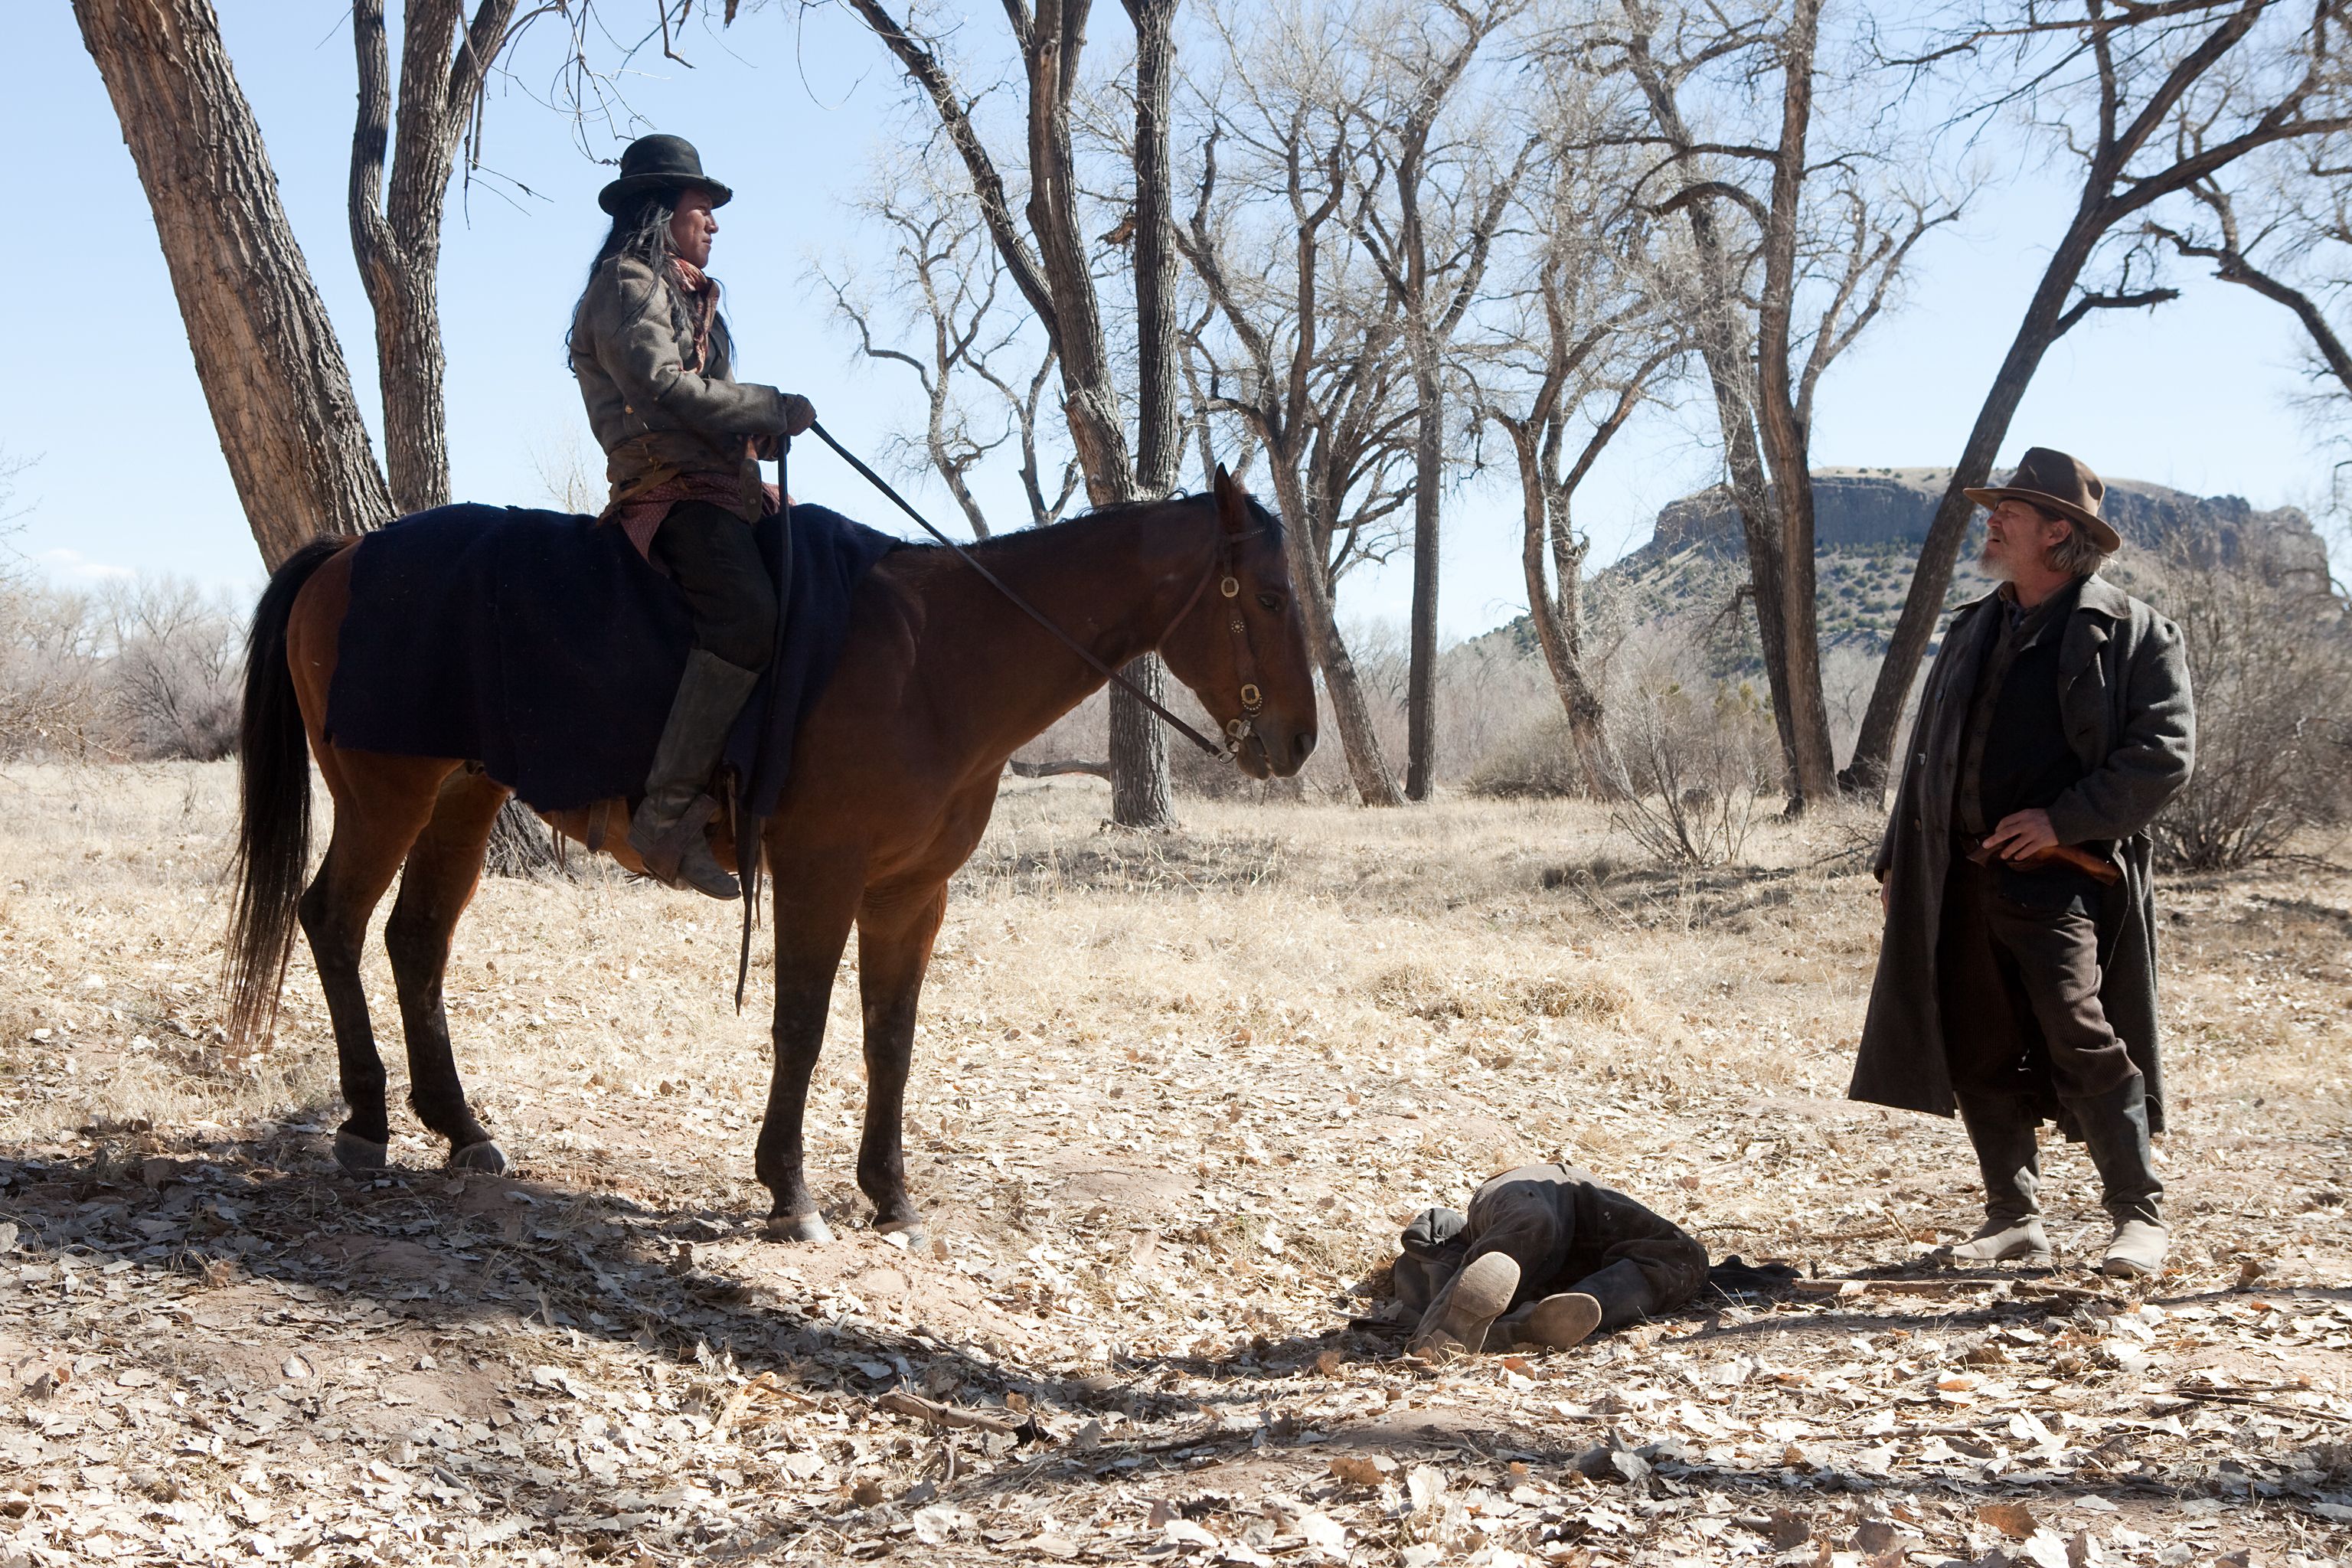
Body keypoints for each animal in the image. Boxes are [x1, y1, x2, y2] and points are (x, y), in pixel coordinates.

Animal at [222, 472, 1317, 1241]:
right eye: (1268, 596)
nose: (1300, 742)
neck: (939, 659)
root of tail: (346, 552)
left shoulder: (913, 894)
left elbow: (890, 1038)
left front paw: (891, 1193)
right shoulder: (820, 873)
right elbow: (804, 1024)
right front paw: (790, 1191)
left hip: (462, 797)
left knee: (415, 941)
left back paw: (460, 1127)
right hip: (387, 798)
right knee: (334, 921)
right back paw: (366, 1121)